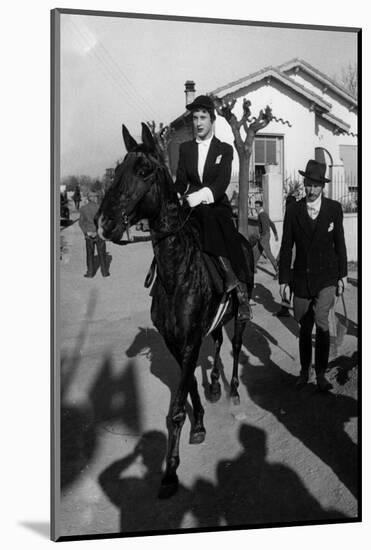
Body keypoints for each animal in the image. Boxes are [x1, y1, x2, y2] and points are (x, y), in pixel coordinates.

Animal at [97, 124, 254, 500]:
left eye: (144, 170)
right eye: (118, 168)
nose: (104, 222)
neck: (177, 272)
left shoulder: (190, 341)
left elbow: (176, 410)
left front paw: (169, 471)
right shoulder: (177, 342)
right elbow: (189, 386)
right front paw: (199, 422)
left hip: (239, 317)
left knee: (236, 346)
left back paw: (233, 391)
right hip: (215, 323)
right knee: (218, 345)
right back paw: (216, 385)